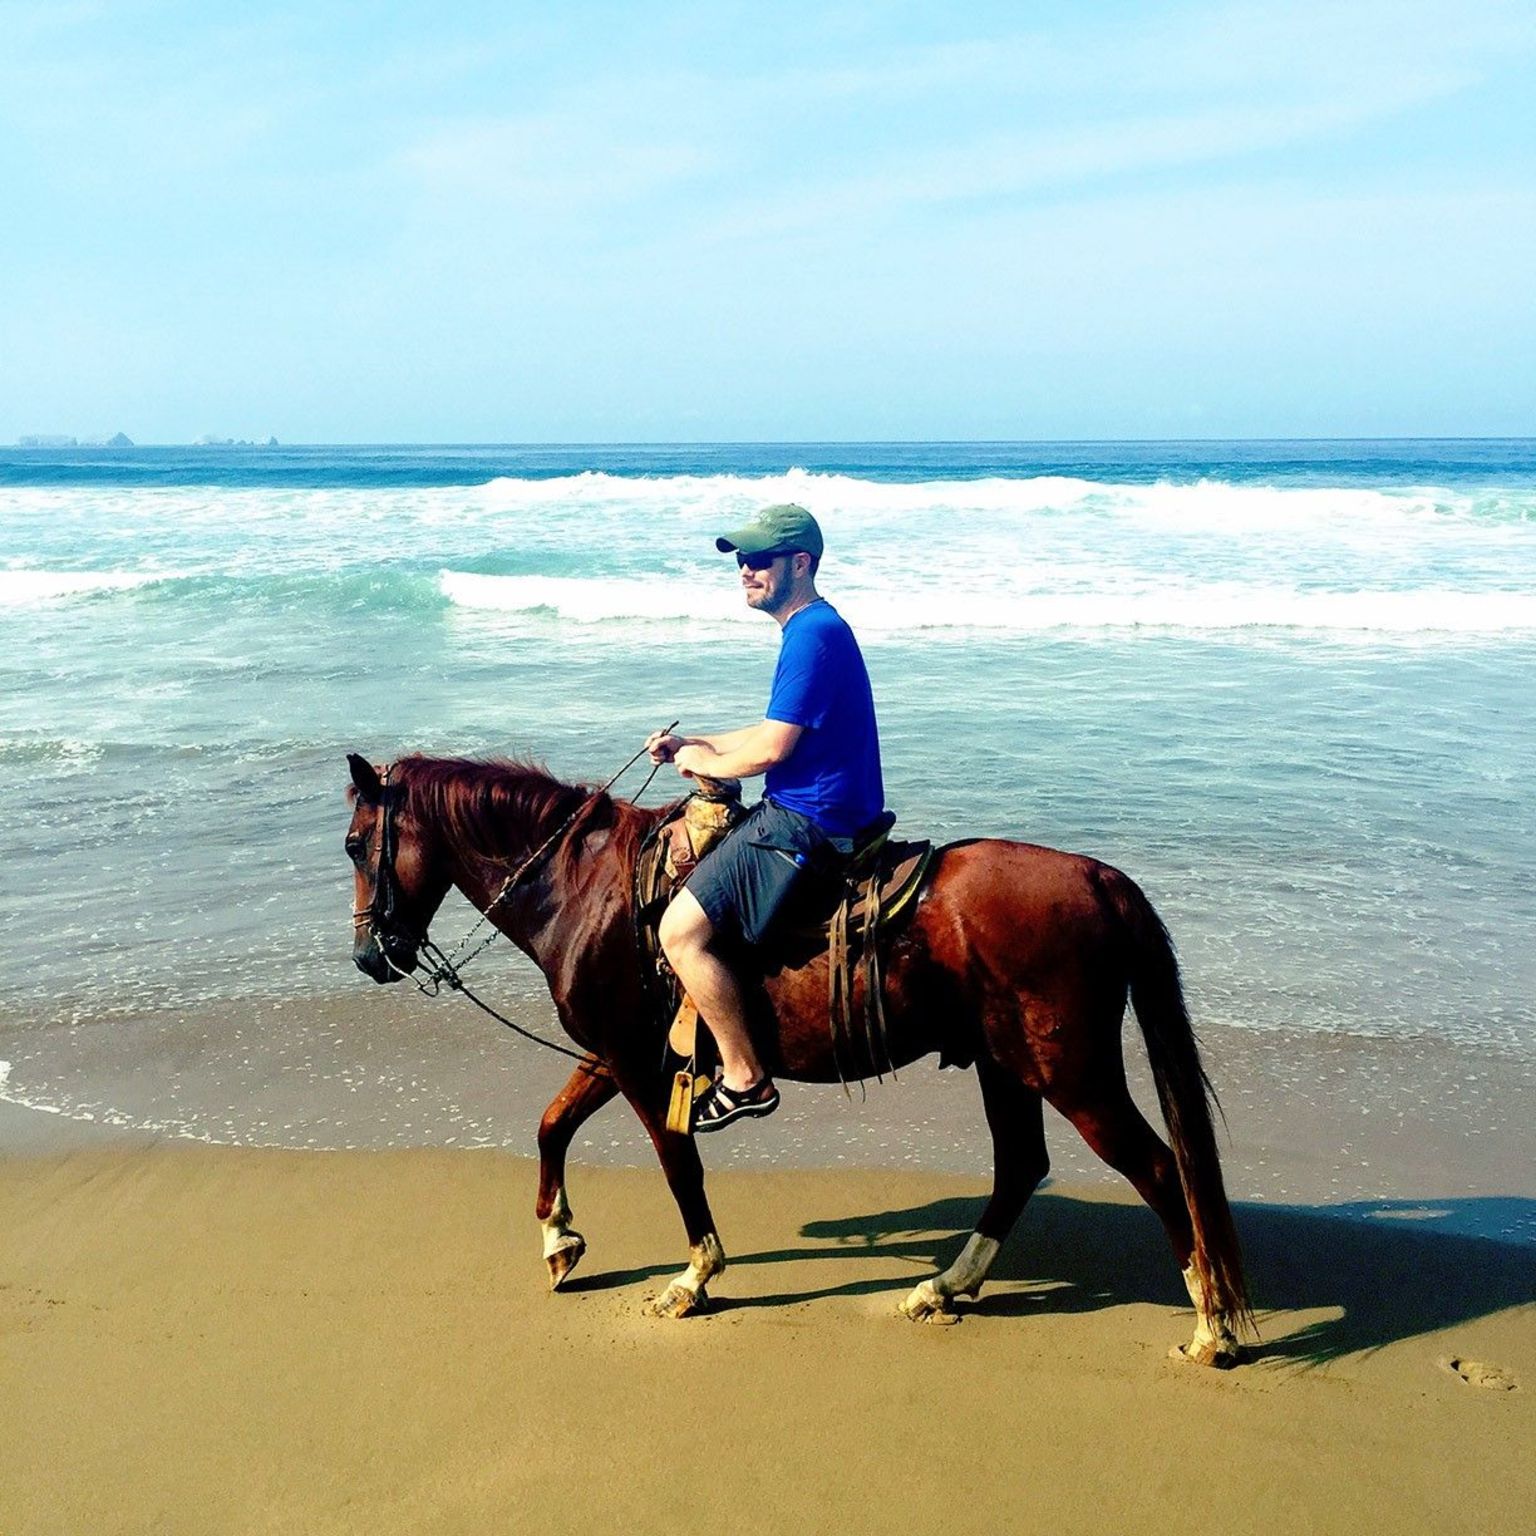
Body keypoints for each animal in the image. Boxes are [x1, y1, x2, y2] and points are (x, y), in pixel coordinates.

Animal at [345, 749, 1247, 1363]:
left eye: (357, 844)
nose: (368, 956)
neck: (587, 887)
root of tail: (1097, 879)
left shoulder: (638, 1066)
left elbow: (676, 1164)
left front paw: (694, 1277)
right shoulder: (614, 1053)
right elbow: (551, 1125)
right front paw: (559, 1241)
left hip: (1071, 1071)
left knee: (1156, 1169)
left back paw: (1210, 1326)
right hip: (1006, 1064)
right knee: (1022, 1166)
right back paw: (944, 1287)